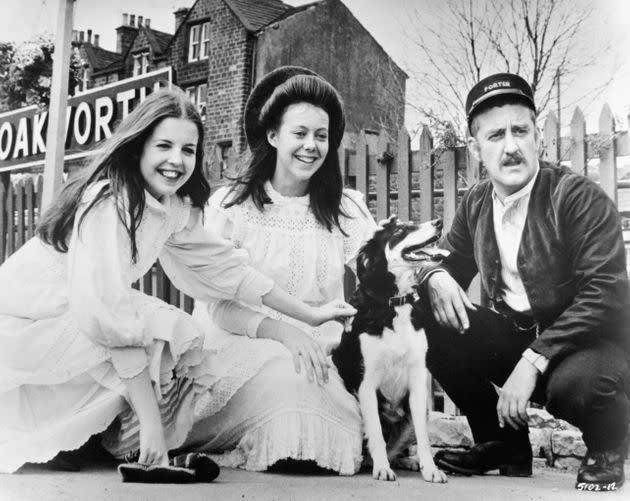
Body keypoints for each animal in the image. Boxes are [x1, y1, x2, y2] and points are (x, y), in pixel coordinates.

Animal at [336, 215, 450, 480]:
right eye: (400, 230)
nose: (439, 221)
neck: (394, 302)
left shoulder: (418, 382)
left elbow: (424, 438)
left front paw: (430, 470)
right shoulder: (366, 384)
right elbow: (376, 435)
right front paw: (382, 469)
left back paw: (407, 461)